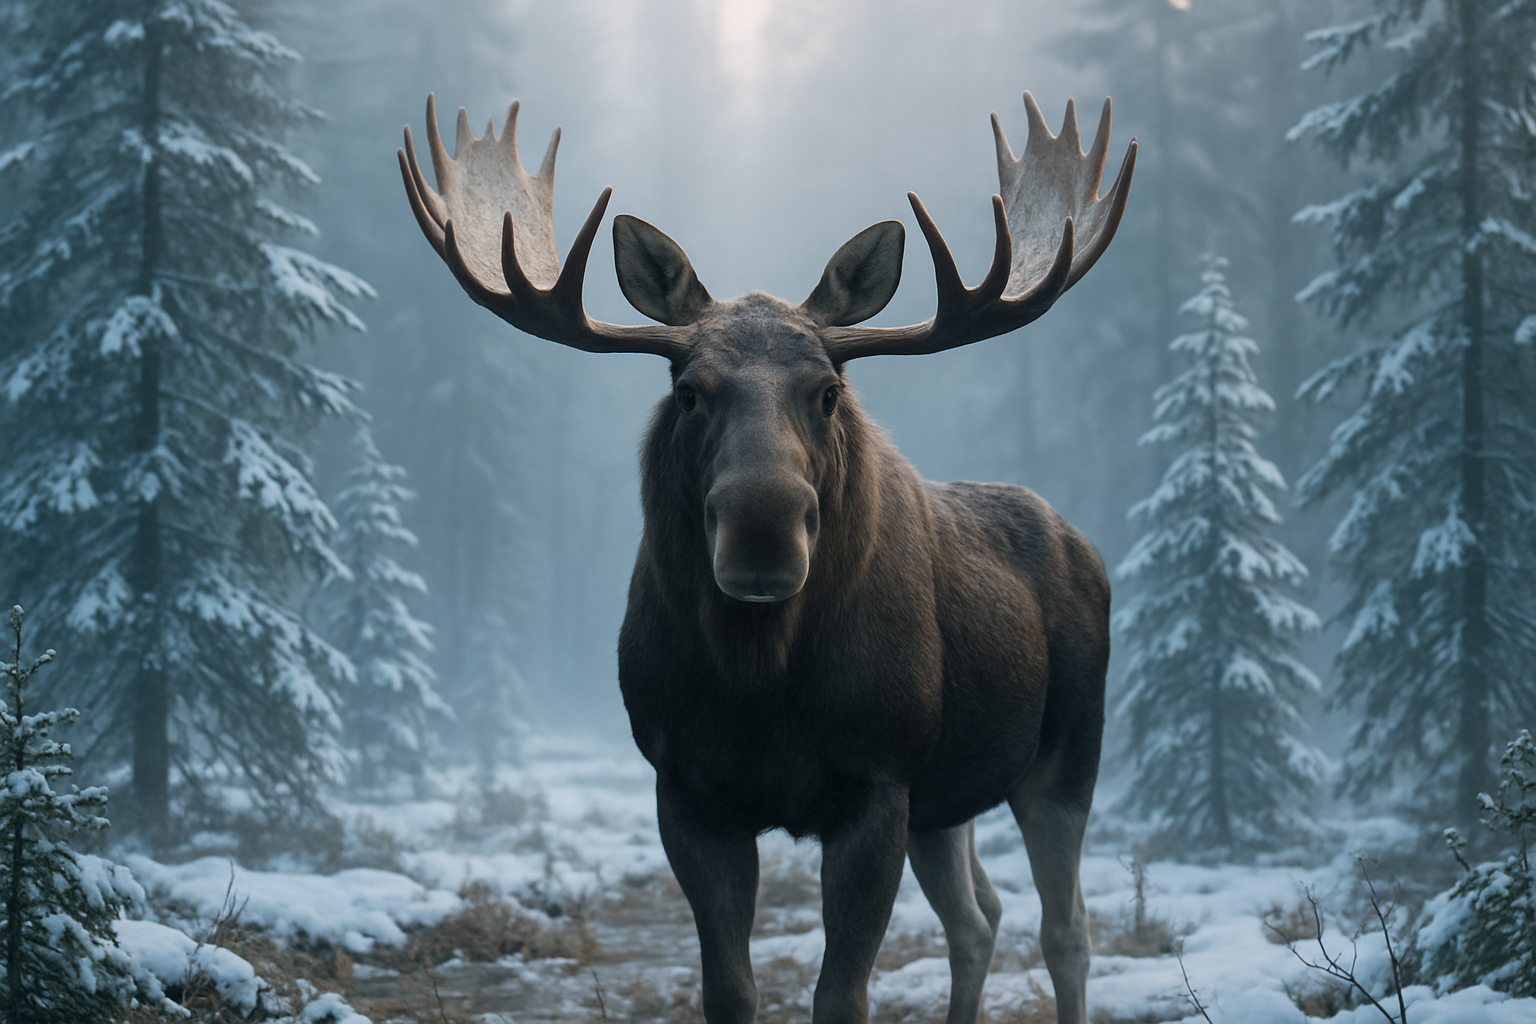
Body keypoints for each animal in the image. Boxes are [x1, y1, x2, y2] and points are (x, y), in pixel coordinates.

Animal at [399, 89, 1134, 1024]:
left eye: (828, 392)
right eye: (687, 391)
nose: (762, 532)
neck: (758, 680)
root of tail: (1085, 546)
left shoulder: (877, 781)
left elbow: (841, 994)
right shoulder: (687, 789)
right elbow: (729, 989)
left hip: (1067, 751)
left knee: (1065, 927)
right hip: (945, 798)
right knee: (979, 917)